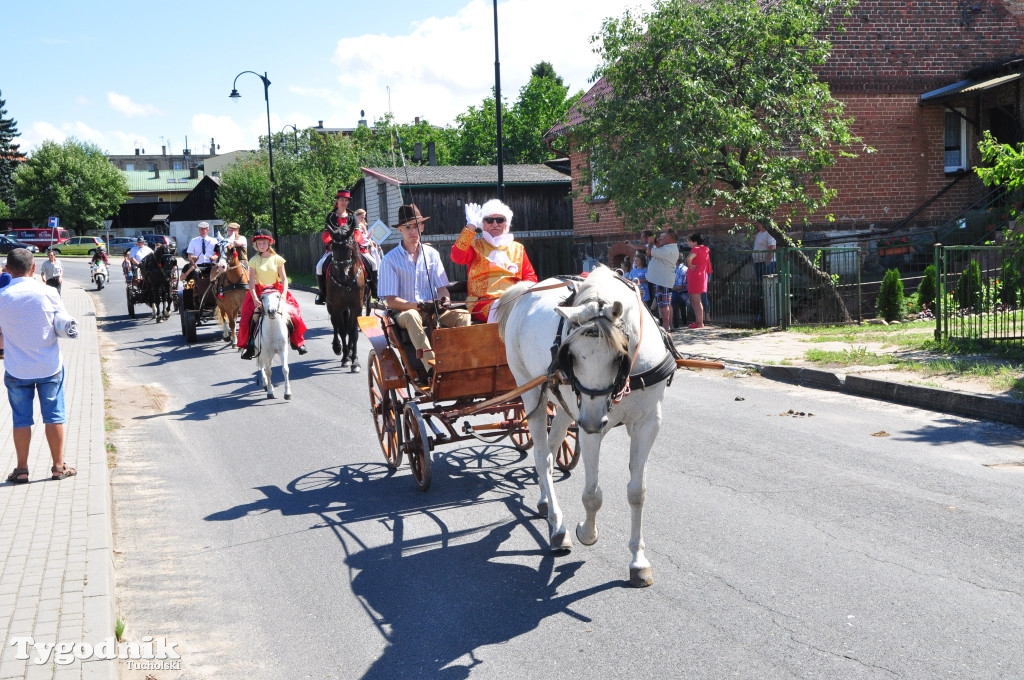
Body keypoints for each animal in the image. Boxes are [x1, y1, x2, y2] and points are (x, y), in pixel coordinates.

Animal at [325, 233, 366, 372]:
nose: (342, 275)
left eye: (348, 248)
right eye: (333, 247)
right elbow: (342, 330)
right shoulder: (337, 307)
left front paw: (355, 361)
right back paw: (338, 347)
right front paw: (346, 358)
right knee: (335, 325)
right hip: (331, 307)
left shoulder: (357, 307)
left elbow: (353, 331)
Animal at [497, 264, 679, 585]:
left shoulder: (648, 423)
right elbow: (593, 495)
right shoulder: (588, 427)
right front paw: (587, 533)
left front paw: (638, 561)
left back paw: (546, 503)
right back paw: (558, 528)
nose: (594, 421)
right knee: (542, 456)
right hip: (532, 393)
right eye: (571, 356)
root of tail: (527, 290)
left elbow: (637, 492)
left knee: (553, 448)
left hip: (566, 409)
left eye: (619, 355)